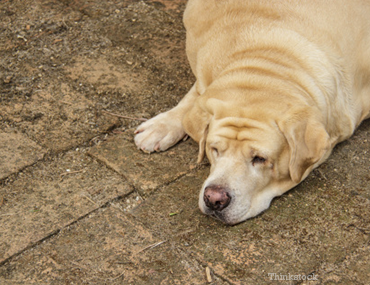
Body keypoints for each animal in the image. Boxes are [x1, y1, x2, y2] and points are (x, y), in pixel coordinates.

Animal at [134, 0, 370, 224]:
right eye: (214, 149)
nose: (214, 199)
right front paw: (161, 126)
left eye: (260, 158)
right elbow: (194, 99)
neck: (265, 64)